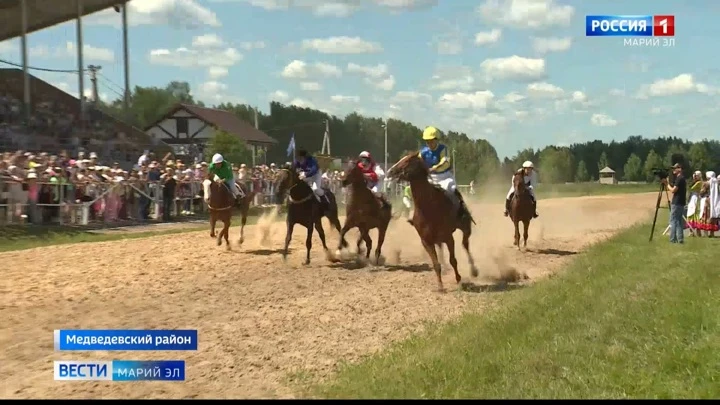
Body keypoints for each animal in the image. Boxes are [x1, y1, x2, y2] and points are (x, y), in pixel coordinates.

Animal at [386, 152, 480, 290]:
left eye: (408, 161)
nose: (390, 171)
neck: (428, 207)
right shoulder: (426, 241)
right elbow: (436, 263)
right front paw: (440, 286)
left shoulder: (448, 237)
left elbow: (453, 260)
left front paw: (458, 279)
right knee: (443, 248)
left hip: (465, 227)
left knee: (465, 244)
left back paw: (474, 270)